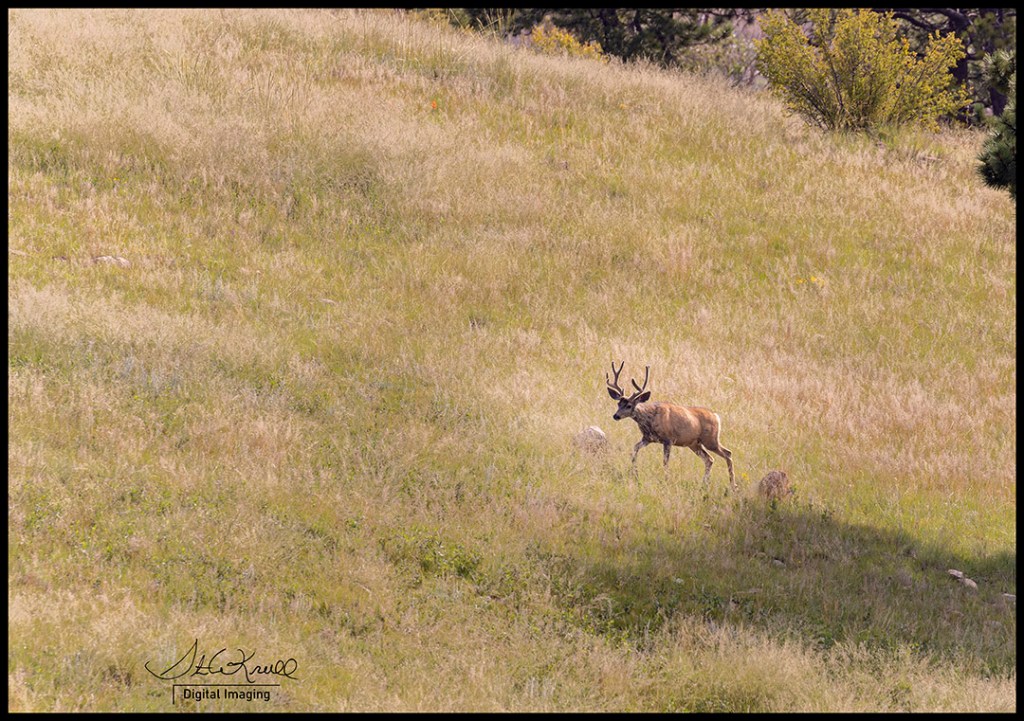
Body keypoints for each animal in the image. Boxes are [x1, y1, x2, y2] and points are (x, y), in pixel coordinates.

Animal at [605, 361, 735, 488]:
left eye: (629, 406)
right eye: (618, 404)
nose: (616, 416)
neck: (650, 419)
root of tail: (716, 416)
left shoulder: (668, 439)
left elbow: (665, 461)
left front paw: (666, 480)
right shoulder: (647, 438)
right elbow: (634, 450)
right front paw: (635, 474)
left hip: (710, 440)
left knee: (727, 453)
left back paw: (732, 485)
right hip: (694, 444)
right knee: (709, 459)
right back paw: (704, 484)